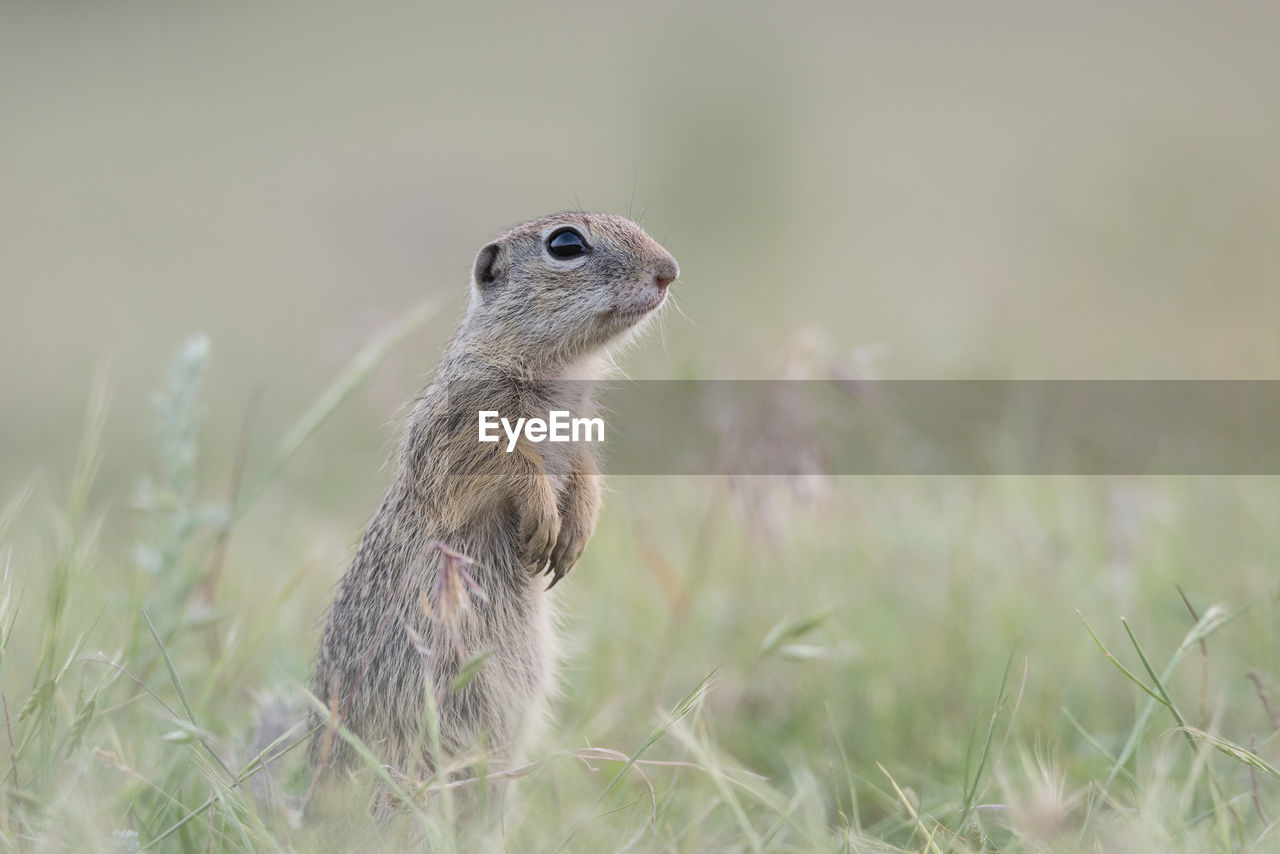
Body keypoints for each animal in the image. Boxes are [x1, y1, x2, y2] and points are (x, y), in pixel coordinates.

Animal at [308, 212, 680, 793]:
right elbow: (510, 466)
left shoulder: (579, 435)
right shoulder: (464, 426)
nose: (669, 271)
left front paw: (576, 532)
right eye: (566, 244)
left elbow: (586, 475)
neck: (560, 371)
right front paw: (544, 520)